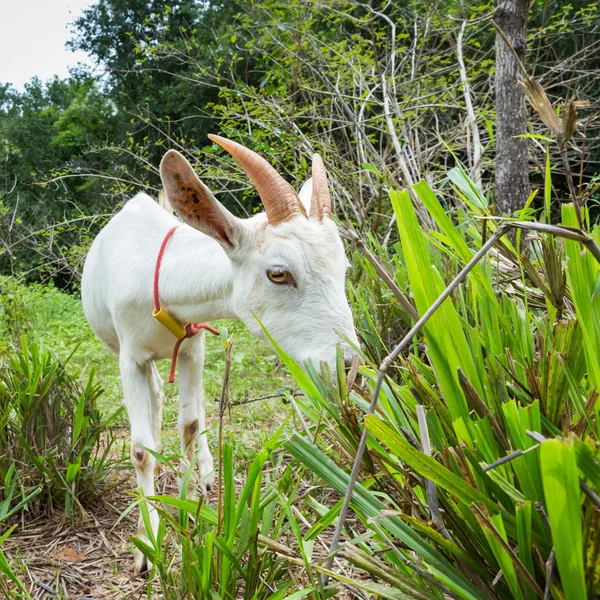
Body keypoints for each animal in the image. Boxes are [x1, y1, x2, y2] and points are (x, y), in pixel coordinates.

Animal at [81, 135, 358, 572]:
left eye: (343, 270)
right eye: (278, 273)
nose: (346, 365)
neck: (160, 281)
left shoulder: (192, 345)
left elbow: (191, 426)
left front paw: (190, 503)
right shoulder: (129, 357)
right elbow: (141, 451)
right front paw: (148, 544)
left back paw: (206, 473)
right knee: (155, 393)